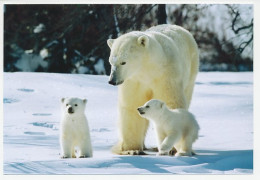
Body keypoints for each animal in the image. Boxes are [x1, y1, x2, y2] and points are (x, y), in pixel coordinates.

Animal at [106, 23, 198, 155]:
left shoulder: (165, 75)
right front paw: (132, 150)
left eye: (123, 62)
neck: (147, 70)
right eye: (111, 62)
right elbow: (132, 106)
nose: (112, 81)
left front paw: (172, 149)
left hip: (191, 71)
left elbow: (171, 101)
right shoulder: (134, 81)